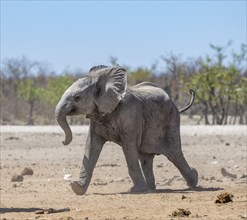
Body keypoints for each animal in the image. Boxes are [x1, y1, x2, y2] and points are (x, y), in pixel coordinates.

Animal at [55, 65, 198, 194]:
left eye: (77, 98)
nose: (63, 141)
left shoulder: (130, 116)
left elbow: (129, 148)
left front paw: (136, 190)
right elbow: (91, 147)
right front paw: (76, 188)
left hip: (172, 119)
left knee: (174, 154)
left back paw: (194, 180)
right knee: (146, 159)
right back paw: (151, 188)